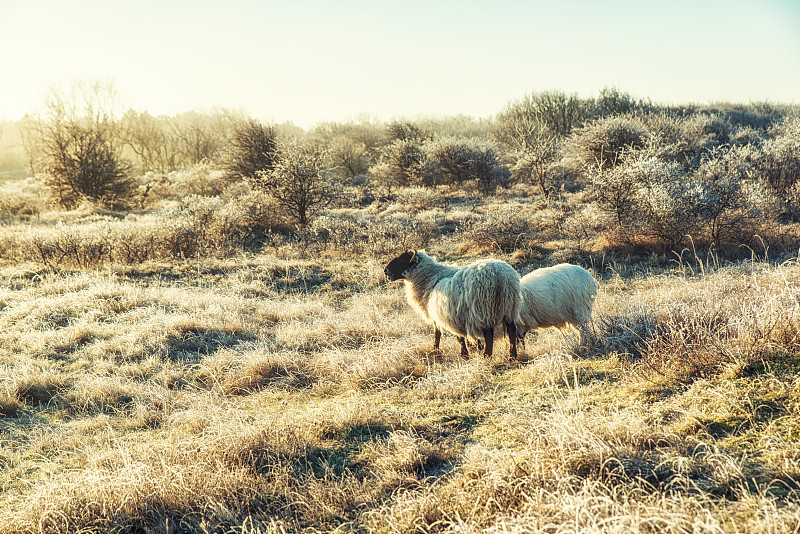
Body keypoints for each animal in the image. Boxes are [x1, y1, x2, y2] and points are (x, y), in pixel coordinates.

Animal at [384, 251, 520, 360]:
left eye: (401, 260)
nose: (385, 269)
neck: (431, 277)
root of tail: (500, 277)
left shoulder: (449, 315)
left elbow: (446, 335)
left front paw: (461, 354)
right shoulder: (454, 317)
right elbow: (451, 335)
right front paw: (471, 350)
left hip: (483, 310)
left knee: (489, 336)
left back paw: (487, 357)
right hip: (509, 308)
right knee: (512, 332)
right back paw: (512, 356)